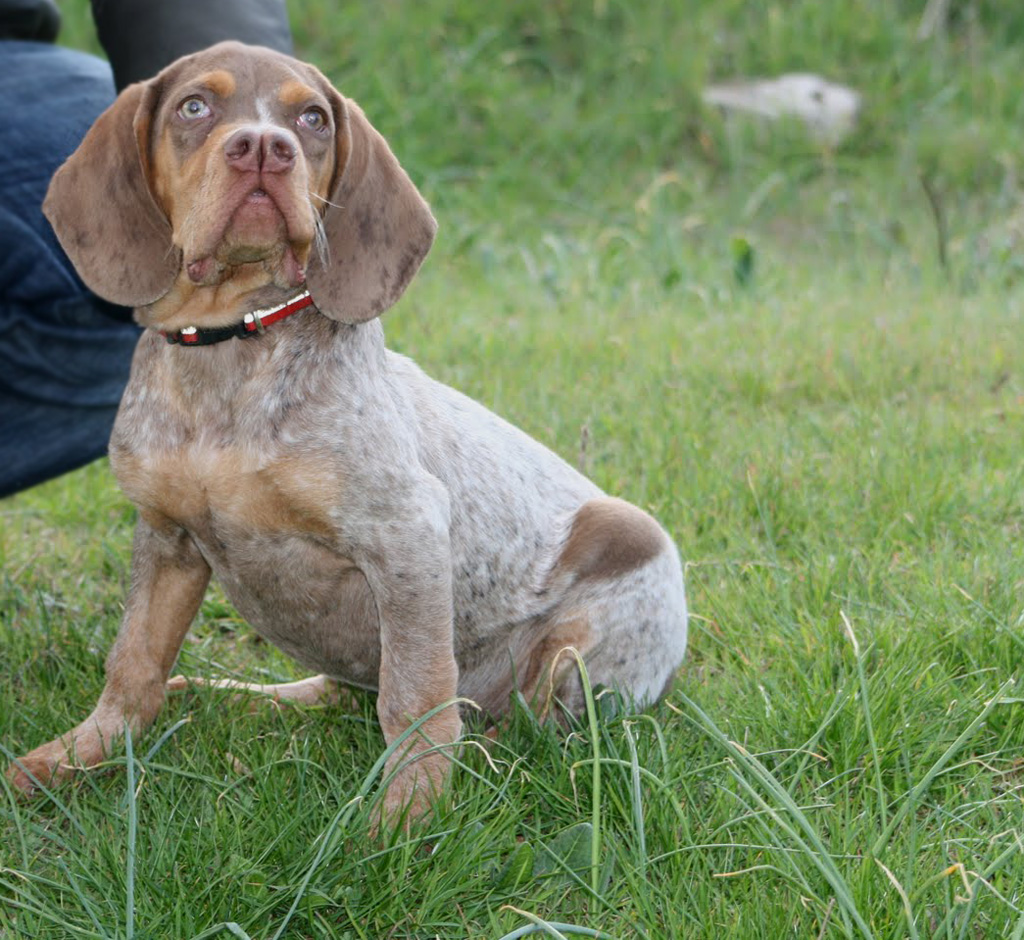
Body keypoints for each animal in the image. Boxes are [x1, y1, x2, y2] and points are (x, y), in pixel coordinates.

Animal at [9, 44, 688, 823]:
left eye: (312, 118)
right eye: (194, 107)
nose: (264, 148)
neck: (233, 346)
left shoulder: (407, 535)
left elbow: (415, 700)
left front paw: (407, 819)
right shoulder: (166, 536)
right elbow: (135, 666)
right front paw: (77, 755)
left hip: (606, 580)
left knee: (523, 728)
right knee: (340, 692)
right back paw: (238, 697)